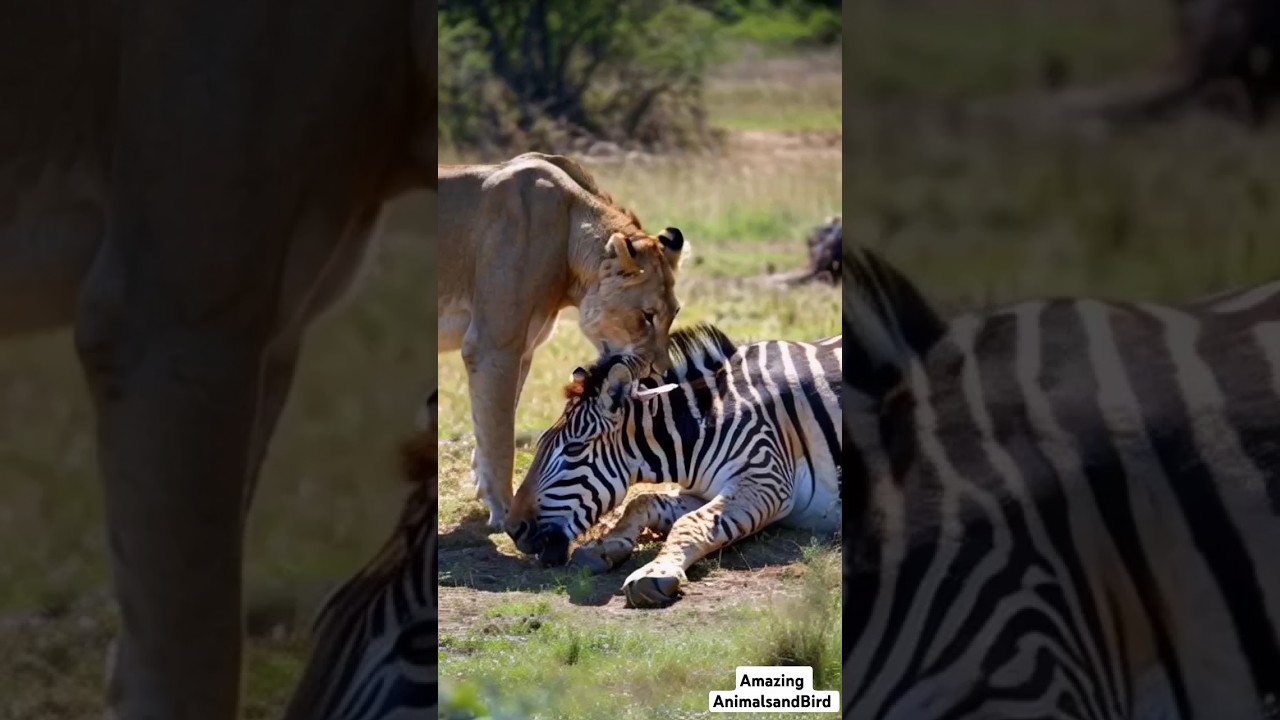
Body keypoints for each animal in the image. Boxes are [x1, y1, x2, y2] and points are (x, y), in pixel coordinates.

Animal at [439, 152, 686, 528]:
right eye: (647, 316)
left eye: (674, 313)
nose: (664, 374)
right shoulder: (492, 345)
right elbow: (500, 438)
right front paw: (505, 512)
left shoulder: (522, 349)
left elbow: (490, 425)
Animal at [503, 324, 842, 608]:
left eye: (573, 449)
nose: (511, 528)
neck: (705, 424)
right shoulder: (707, 490)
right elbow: (643, 502)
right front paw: (604, 545)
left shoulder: (766, 476)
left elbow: (689, 523)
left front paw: (654, 572)